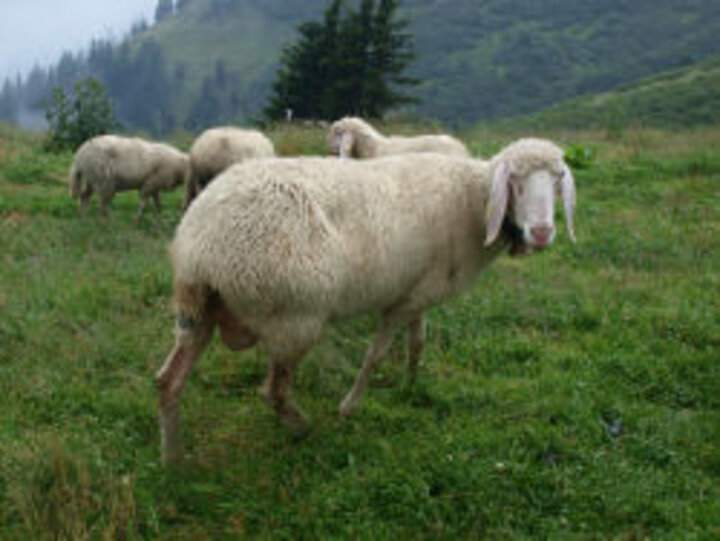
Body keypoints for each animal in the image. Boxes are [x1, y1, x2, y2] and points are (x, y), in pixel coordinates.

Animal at [155, 137, 576, 462]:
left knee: (168, 381)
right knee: (273, 390)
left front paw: (411, 384)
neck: (472, 202)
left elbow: (417, 341)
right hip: (295, 317)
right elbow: (375, 356)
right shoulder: (401, 302)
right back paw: (303, 428)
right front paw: (350, 406)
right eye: (516, 181)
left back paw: (173, 460)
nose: (542, 233)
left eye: (558, 181)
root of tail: (201, 242)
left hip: (199, 311)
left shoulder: (419, 290)